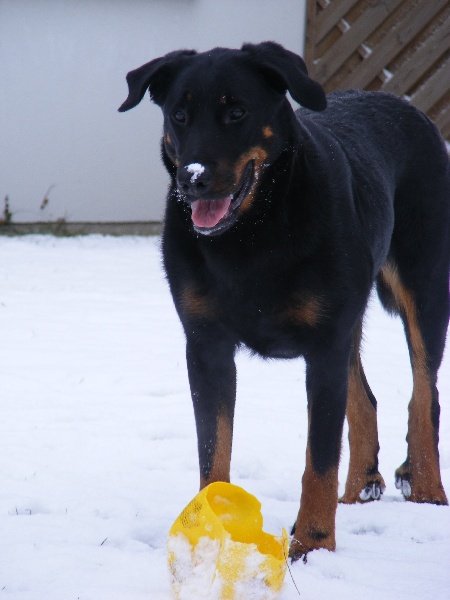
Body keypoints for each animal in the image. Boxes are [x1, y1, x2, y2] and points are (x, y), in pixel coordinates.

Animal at [120, 43, 450, 564]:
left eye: (237, 112)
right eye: (179, 115)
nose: (193, 179)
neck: (253, 234)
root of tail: (407, 106)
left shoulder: (324, 345)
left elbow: (319, 457)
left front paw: (312, 542)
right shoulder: (207, 346)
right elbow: (213, 449)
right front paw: (211, 536)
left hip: (424, 283)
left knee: (424, 391)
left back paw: (427, 491)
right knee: (365, 398)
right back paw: (358, 490)